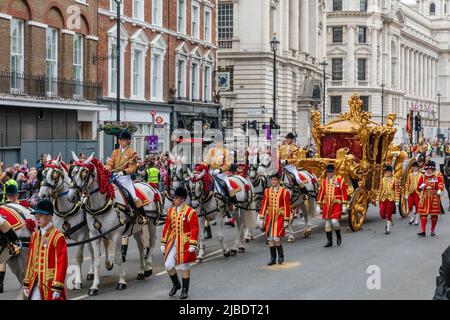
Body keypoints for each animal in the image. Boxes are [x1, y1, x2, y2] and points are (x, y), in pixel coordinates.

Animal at [37, 154, 97, 290]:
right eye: (43, 173)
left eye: (54, 174)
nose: (42, 195)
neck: (66, 211)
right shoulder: (59, 235)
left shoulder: (81, 235)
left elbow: (78, 257)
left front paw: (78, 281)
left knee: (92, 251)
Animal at [67, 152, 162, 296]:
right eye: (72, 172)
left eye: (84, 173)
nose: (71, 197)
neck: (102, 204)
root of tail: (149, 185)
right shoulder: (94, 235)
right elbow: (96, 261)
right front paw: (94, 286)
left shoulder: (116, 235)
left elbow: (118, 258)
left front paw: (121, 281)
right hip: (136, 228)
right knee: (140, 247)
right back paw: (141, 271)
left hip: (151, 223)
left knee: (151, 242)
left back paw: (148, 267)